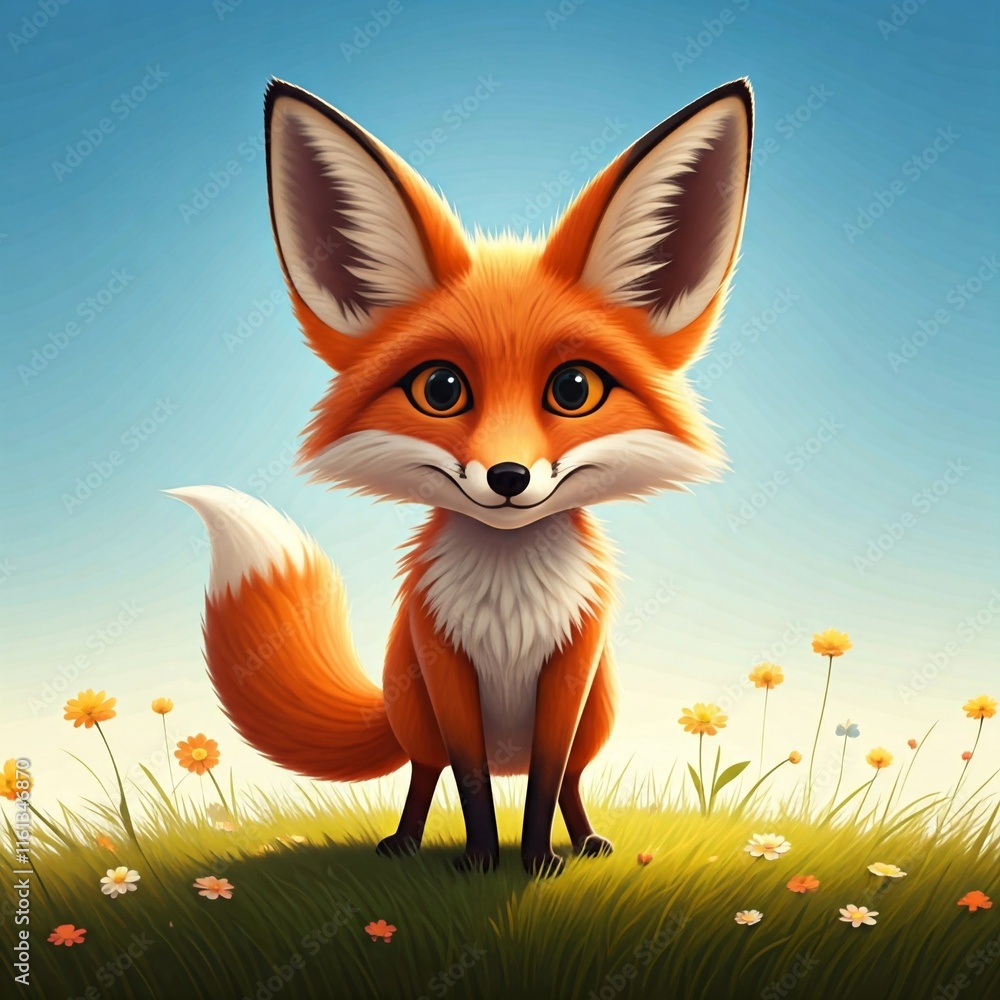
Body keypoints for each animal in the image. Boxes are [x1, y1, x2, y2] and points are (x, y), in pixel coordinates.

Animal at [168, 77, 753, 877]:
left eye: (574, 389)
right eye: (441, 389)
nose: (508, 475)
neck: (508, 599)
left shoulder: (569, 667)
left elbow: (544, 782)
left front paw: (537, 861)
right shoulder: (443, 661)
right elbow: (471, 780)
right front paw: (479, 860)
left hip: (598, 710)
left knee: (571, 779)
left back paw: (587, 840)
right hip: (414, 706)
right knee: (424, 771)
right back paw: (404, 842)